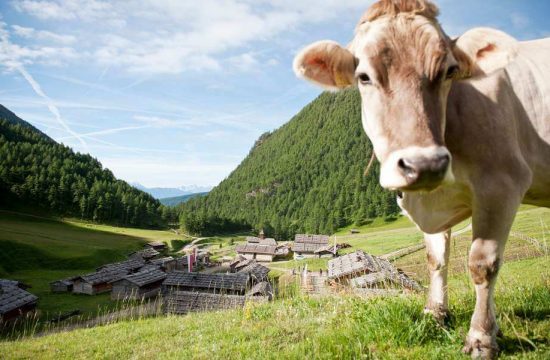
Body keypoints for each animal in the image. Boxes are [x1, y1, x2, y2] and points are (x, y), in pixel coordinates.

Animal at [294, 1, 550, 358]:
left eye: (449, 71)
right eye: (363, 76)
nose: (425, 164)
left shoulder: (502, 183)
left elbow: (482, 264)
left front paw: (481, 337)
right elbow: (436, 258)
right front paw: (435, 313)